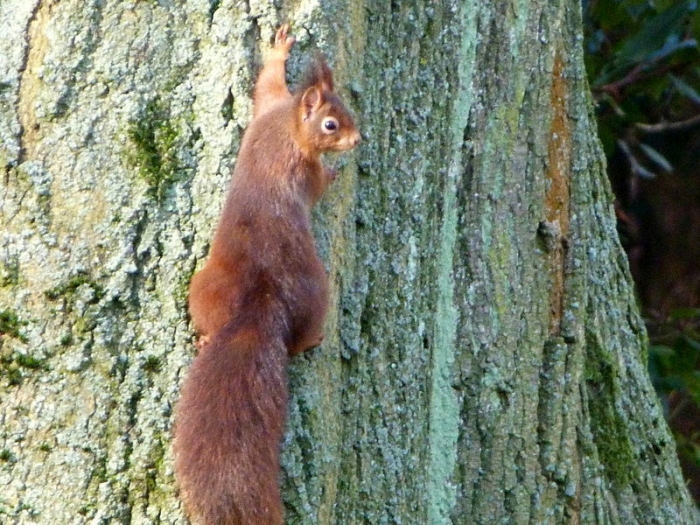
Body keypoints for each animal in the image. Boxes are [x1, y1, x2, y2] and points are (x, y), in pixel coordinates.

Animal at [173, 24, 361, 525]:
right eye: (331, 125)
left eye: (348, 109)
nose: (357, 141)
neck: (288, 126)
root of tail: (263, 296)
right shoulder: (303, 165)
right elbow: (318, 183)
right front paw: (336, 173)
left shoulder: (272, 106)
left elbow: (267, 83)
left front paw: (278, 50)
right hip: (318, 296)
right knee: (301, 337)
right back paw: (313, 340)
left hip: (206, 287)